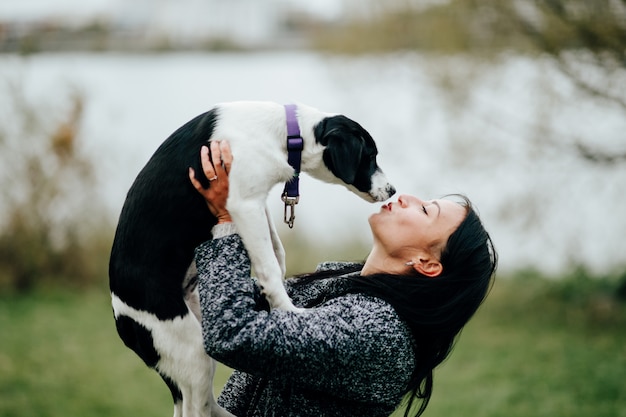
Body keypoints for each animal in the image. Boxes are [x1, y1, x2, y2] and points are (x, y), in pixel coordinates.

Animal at [108, 101, 394, 416]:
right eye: (370, 156)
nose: (392, 191)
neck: (285, 133)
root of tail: (121, 320)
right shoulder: (244, 204)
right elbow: (268, 264)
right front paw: (288, 310)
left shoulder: (254, 203)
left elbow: (274, 246)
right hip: (192, 352)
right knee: (197, 408)